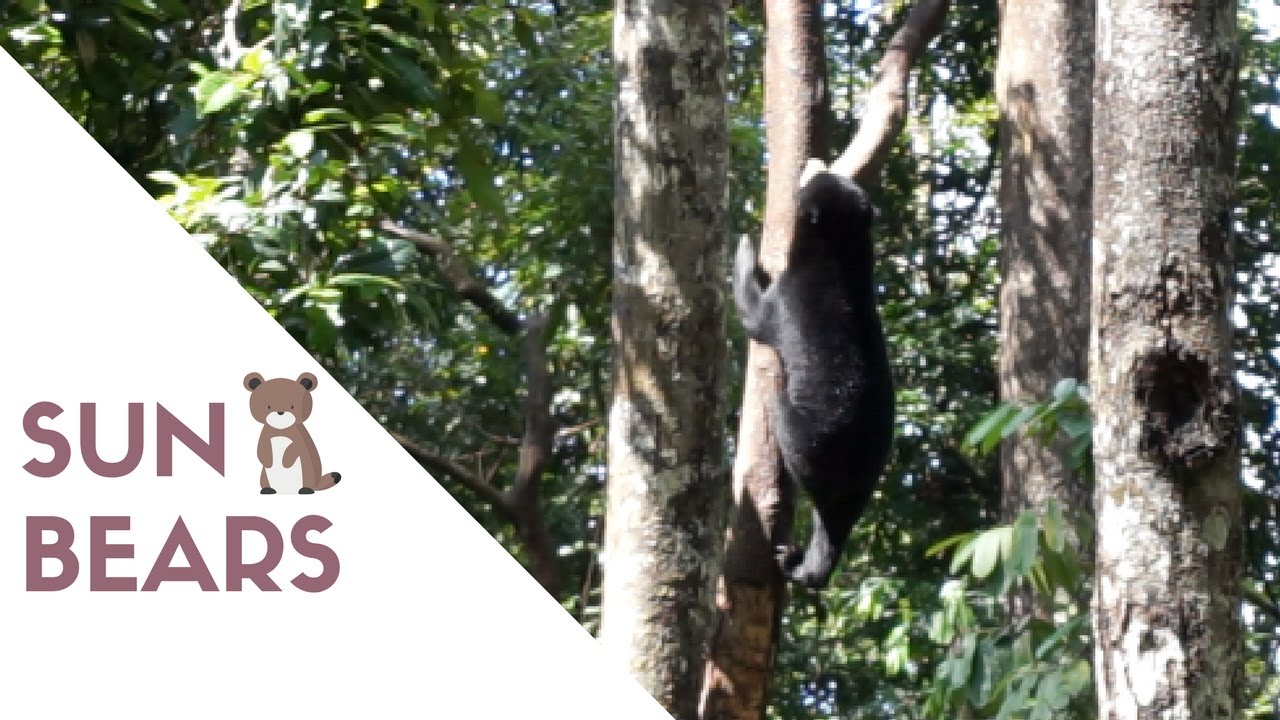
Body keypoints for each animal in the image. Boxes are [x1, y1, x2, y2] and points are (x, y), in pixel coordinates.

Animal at [732, 159, 895, 589]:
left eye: (813, 180)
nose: (814, 162)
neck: (840, 252)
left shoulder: (786, 298)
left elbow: (753, 313)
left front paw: (745, 244)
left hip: (810, 437)